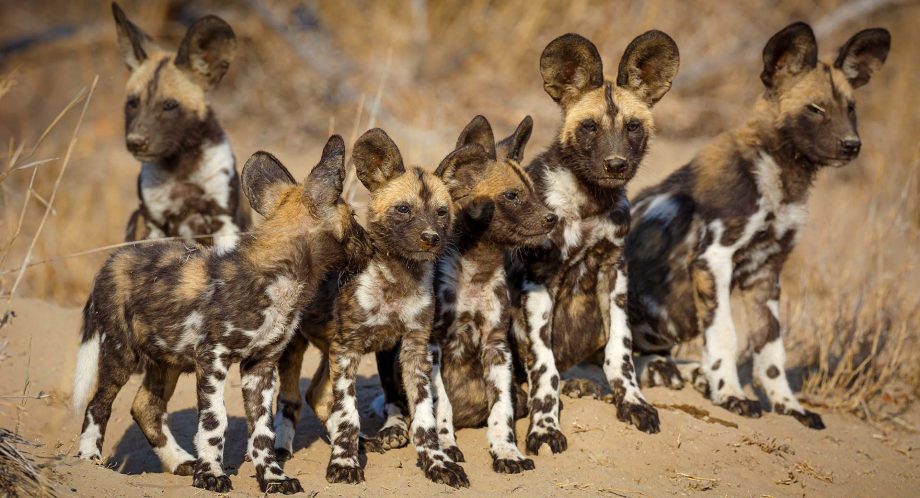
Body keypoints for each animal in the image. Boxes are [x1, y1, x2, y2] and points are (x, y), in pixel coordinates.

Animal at [72, 134, 366, 492]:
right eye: (354, 218)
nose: (372, 245)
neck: (278, 281)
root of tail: (112, 260)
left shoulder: (260, 366)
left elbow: (263, 432)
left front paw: (272, 477)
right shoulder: (212, 359)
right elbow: (215, 423)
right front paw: (211, 475)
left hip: (166, 362)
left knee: (146, 409)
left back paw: (180, 462)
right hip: (121, 355)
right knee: (98, 404)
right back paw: (89, 459)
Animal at [111, 2, 248, 249]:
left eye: (169, 105)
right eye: (133, 103)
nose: (135, 142)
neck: (180, 167)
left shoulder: (223, 220)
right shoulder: (153, 225)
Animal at [370, 114, 556, 474]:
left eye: (533, 192)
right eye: (512, 195)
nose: (552, 218)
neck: (477, 270)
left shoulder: (497, 348)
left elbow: (501, 411)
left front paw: (506, 451)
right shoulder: (432, 346)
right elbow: (439, 406)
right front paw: (444, 446)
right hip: (390, 350)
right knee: (394, 400)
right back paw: (393, 429)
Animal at [510, 30, 684, 452]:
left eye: (633, 127)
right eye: (589, 127)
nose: (616, 164)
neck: (590, 202)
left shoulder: (614, 273)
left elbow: (619, 353)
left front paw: (633, 402)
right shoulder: (538, 282)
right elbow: (544, 369)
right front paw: (545, 427)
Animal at [628, 22, 888, 428]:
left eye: (850, 108)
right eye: (815, 109)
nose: (852, 145)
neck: (780, 174)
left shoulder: (767, 274)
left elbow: (771, 349)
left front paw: (788, 406)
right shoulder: (714, 260)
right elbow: (725, 336)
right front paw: (731, 395)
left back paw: (685, 372)